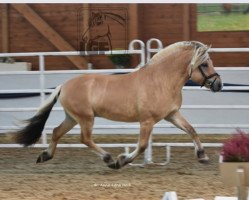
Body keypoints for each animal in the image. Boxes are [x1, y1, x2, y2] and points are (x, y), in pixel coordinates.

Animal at [10, 40, 223, 169]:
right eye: (204, 64)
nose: (218, 84)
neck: (160, 80)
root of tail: (64, 86)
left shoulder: (172, 115)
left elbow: (192, 130)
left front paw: (203, 156)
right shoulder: (147, 121)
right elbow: (142, 145)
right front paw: (122, 160)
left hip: (72, 117)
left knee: (56, 132)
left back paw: (45, 156)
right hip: (86, 118)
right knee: (85, 139)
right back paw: (109, 159)